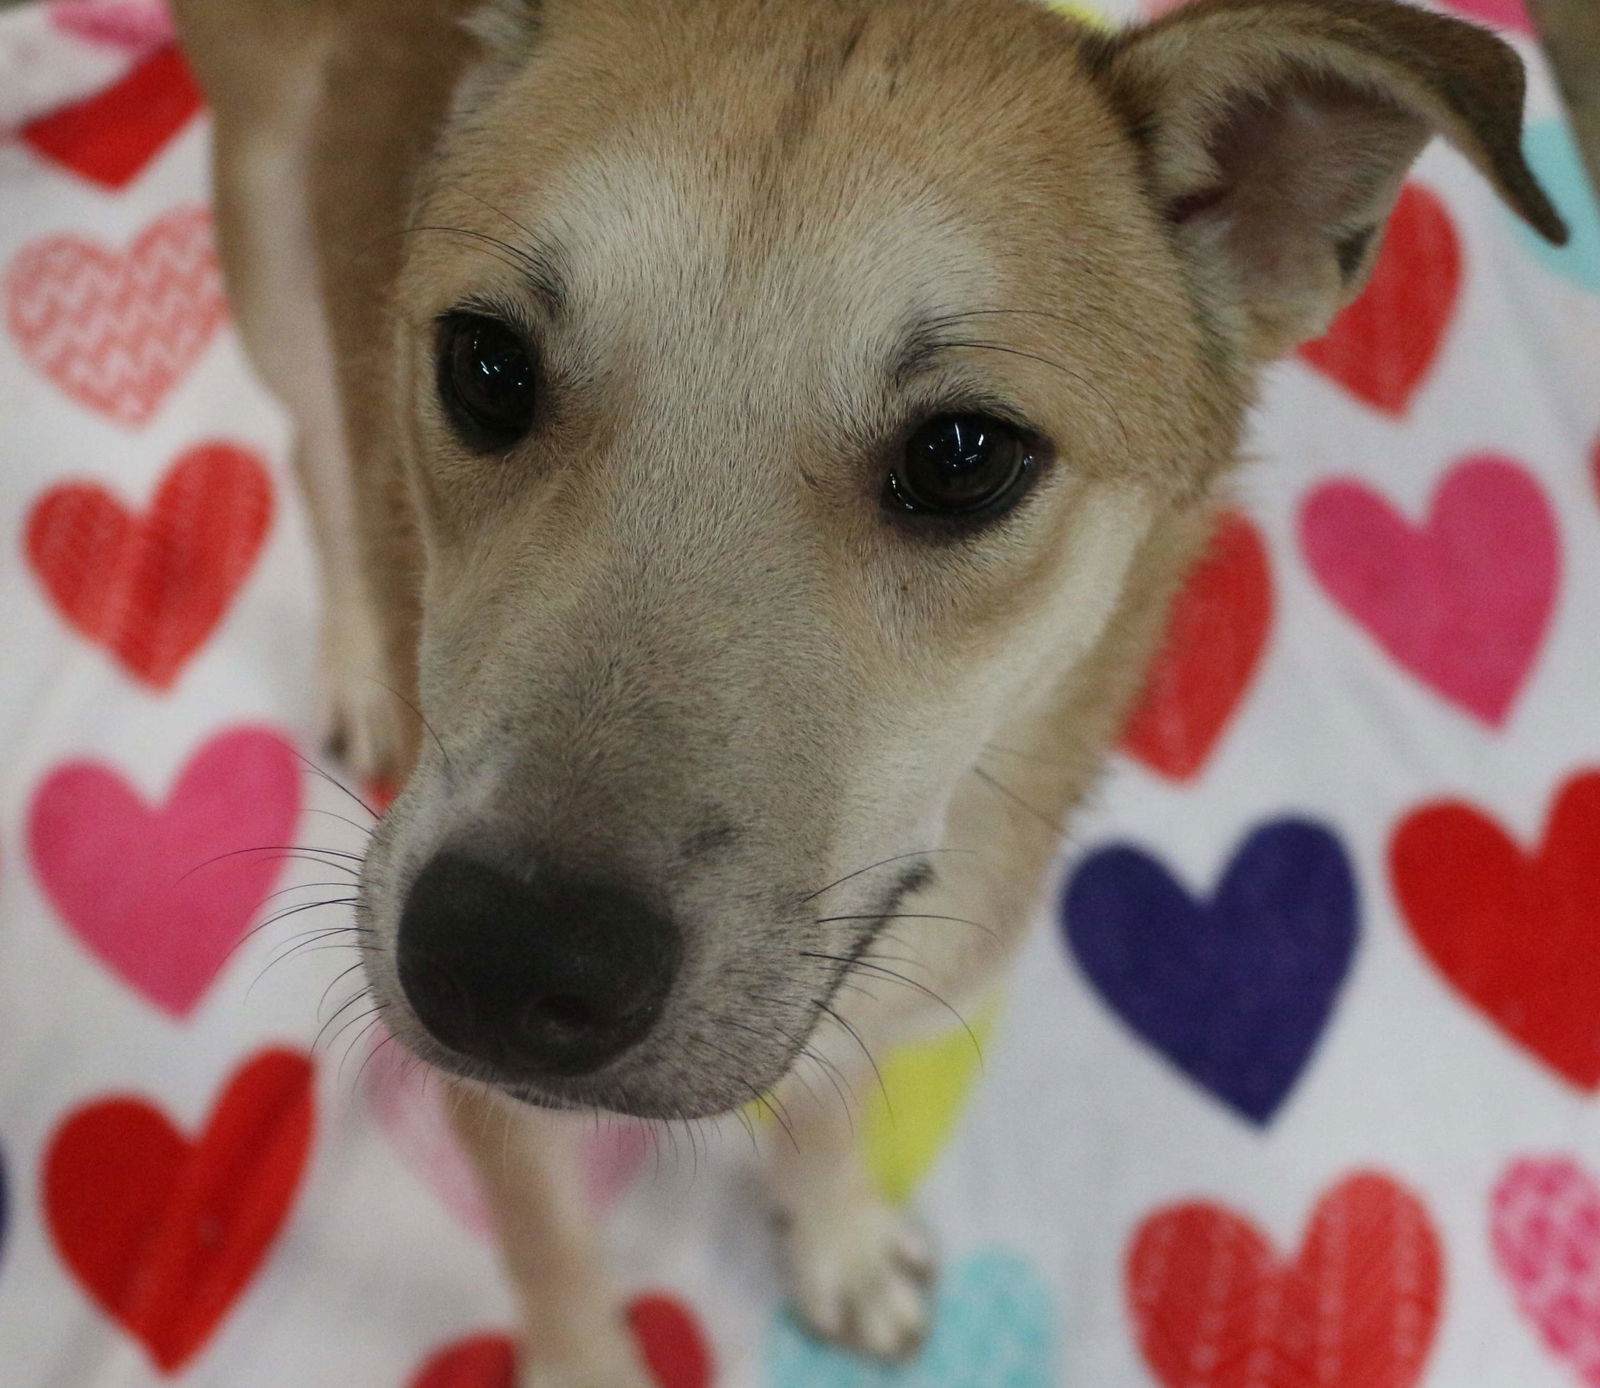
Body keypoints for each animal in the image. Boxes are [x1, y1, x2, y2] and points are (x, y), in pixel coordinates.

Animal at [168, 0, 1568, 1375]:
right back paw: (357, 657)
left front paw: (835, 1241)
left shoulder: (870, 972)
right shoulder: (493, 1108)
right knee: (308, 439)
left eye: (962, 455)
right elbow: (556, 1256)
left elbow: (832, 1110)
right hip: (265, 233)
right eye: (487, 364)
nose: (504, 962)